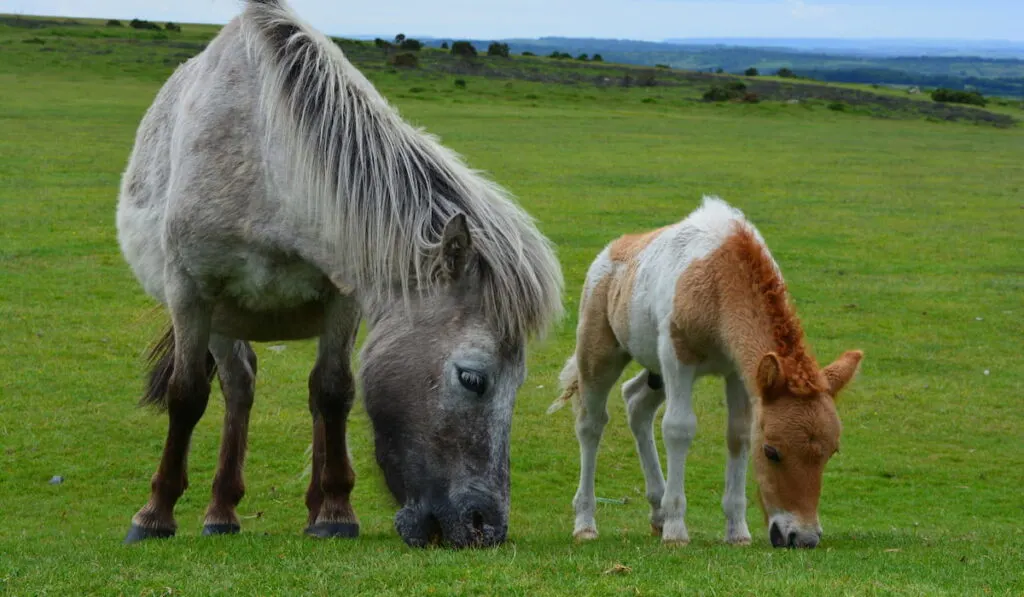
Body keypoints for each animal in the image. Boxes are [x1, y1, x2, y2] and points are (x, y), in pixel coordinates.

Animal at [116, 0, 565, 552]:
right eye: (472, 378)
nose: (486, 527)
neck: (269, 164)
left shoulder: (343, 299)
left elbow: (333, 392)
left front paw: (334, 512)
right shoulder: (190, 293)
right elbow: (186, 396)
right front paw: (154, 514)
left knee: (286, 393)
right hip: (219, 319)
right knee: (236, 388)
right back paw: (220, 511)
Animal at [548, 198, 860, 548]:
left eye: (831, 453)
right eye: (771, 451)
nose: (802, 537)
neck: (720, 276)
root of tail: (612, 251)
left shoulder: (739, 372)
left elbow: (738, 433)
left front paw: (737, 531)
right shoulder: (677, 357)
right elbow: (678, 428)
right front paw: (676, 530)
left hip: (655, 371)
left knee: (636, 401)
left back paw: (657, 512)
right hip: (599, 352)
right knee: (591, 424)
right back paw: (586, 523)